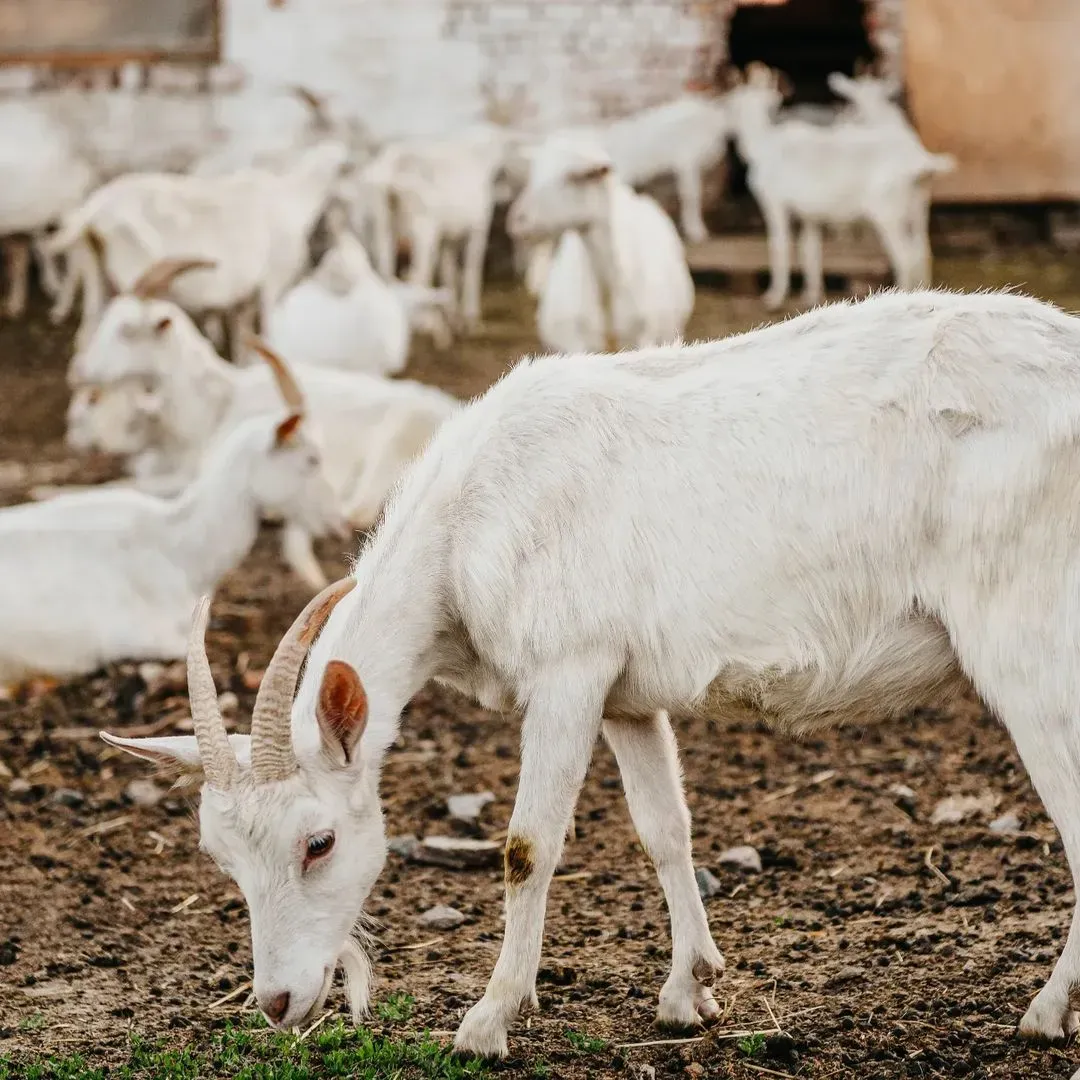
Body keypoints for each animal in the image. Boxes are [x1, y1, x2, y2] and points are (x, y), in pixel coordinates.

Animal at [101, 289, 1080, 1071]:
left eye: (319, 843)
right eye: (221, 857)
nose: (277, 1002)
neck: (470, 517)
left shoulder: (568, 671)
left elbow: (527, 846)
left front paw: (487, 1021)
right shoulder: (625, 693)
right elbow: (664, 828)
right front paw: (689, 992)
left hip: (1025, 641)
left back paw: (1043, 1013)